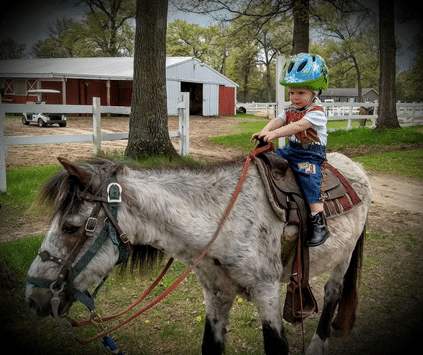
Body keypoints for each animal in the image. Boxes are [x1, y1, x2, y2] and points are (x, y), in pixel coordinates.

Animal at [25, 153, 372, 355]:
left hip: (343, 258)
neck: (223, 220)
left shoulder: (266, 293)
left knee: (332, 292)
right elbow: (210, 346)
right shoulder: (215, 294)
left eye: (70, 227)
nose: (32, 298)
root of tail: (354, 166)